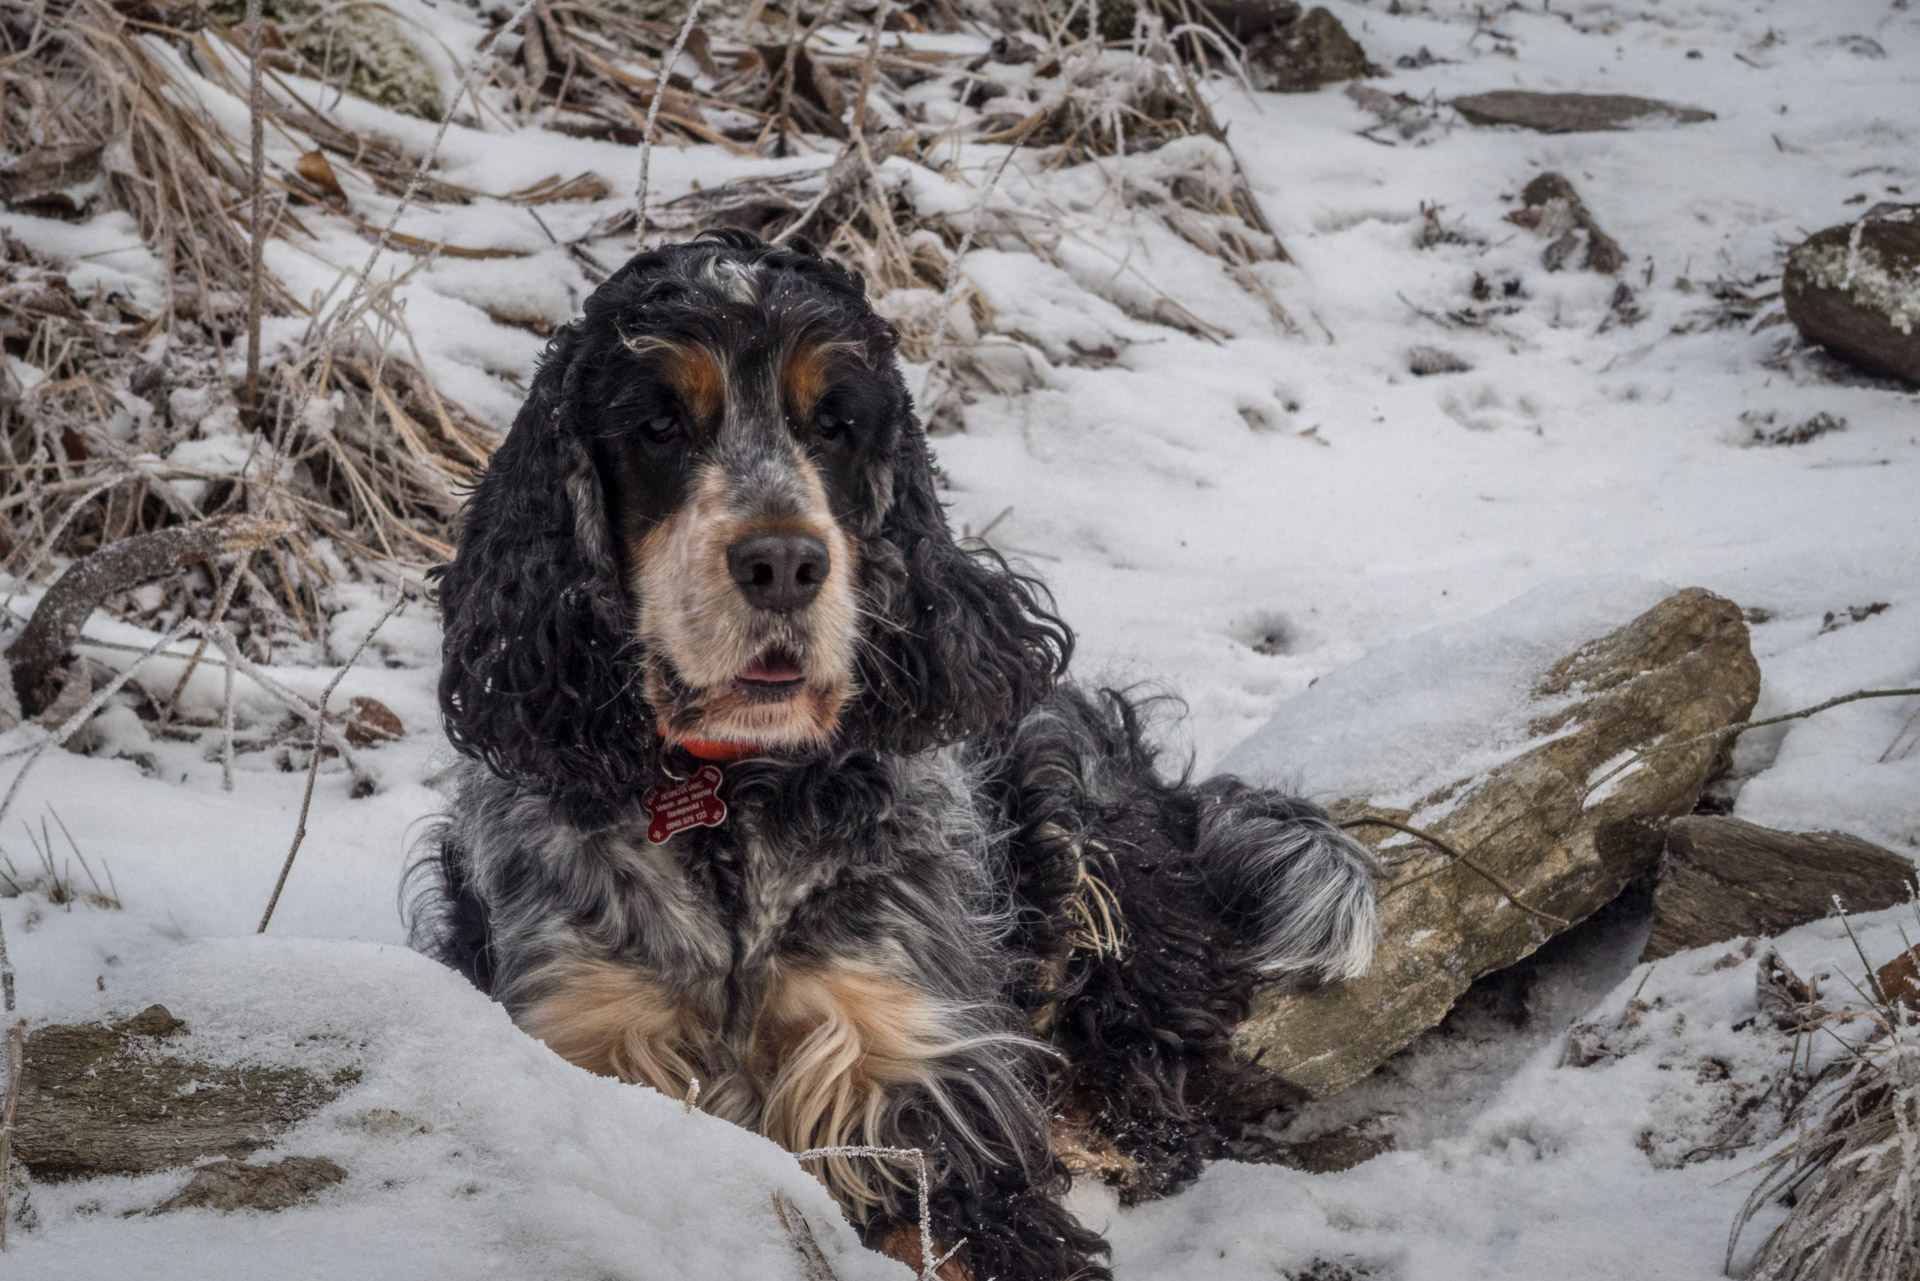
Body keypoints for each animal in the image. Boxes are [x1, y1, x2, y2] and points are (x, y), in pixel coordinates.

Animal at [416, 230, 1382, 1281]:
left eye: (836, 424)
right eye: (659, 424)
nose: (784, 564)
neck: (735, 797)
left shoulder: (911, 1063)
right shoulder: (587, 1037)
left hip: (1063, 791)